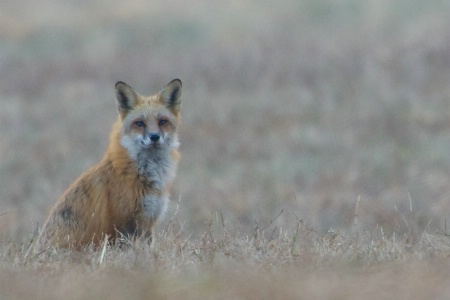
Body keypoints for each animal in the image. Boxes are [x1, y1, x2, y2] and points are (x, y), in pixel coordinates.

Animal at [36, 78, 182, 250]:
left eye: (162, 121)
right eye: (139, 123)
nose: (154, 137)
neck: (146, 173)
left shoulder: (148, 221)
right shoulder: (123, 222)